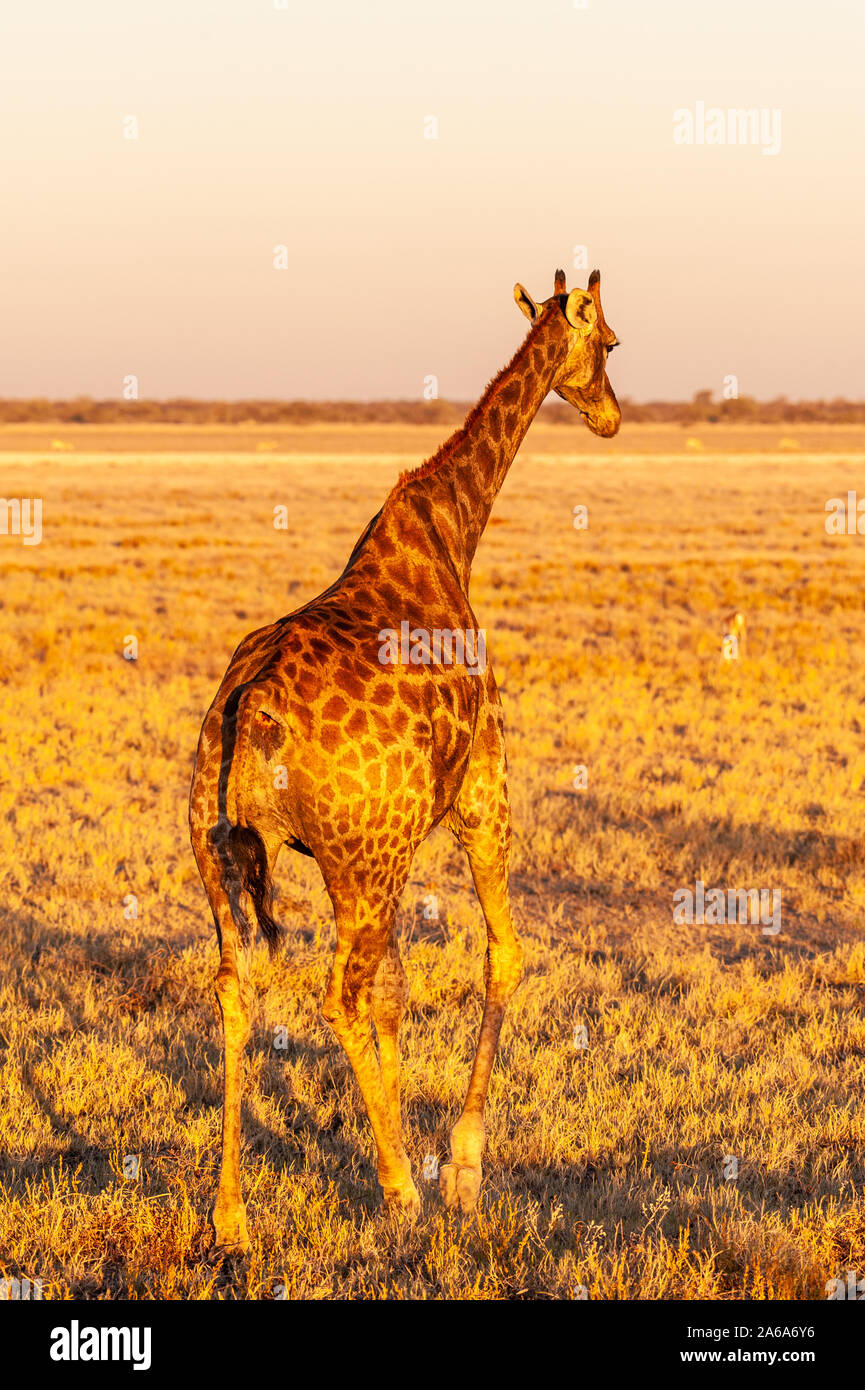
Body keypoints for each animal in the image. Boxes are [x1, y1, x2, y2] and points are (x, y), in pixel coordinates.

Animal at [189, 265, 623, 1256]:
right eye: (612, 342)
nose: (612, 415)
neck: (452, 529)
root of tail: (248, 710)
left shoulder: (401, 842)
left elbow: (396, 990)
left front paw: (412, 1144)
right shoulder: (480, 791)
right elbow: (504, 954)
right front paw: (457, 1168)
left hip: (222, 851)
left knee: (239, 988)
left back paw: (232, 1216)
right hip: (358, 861)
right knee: (335, 996)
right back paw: (397, 1193)